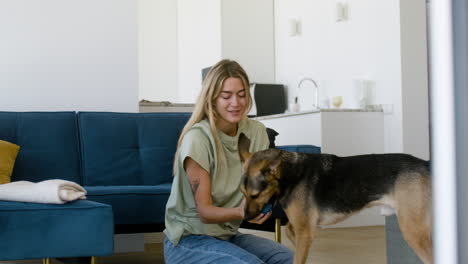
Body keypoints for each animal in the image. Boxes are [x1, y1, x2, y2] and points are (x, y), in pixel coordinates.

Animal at [238, 134, 432, 264]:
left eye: (255, 194)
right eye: (242, 193)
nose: (245, 218)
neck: (292, 174)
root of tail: (424, 164)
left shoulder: (305, 231)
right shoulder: (302, 229)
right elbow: (290, 233)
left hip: (413, 230)